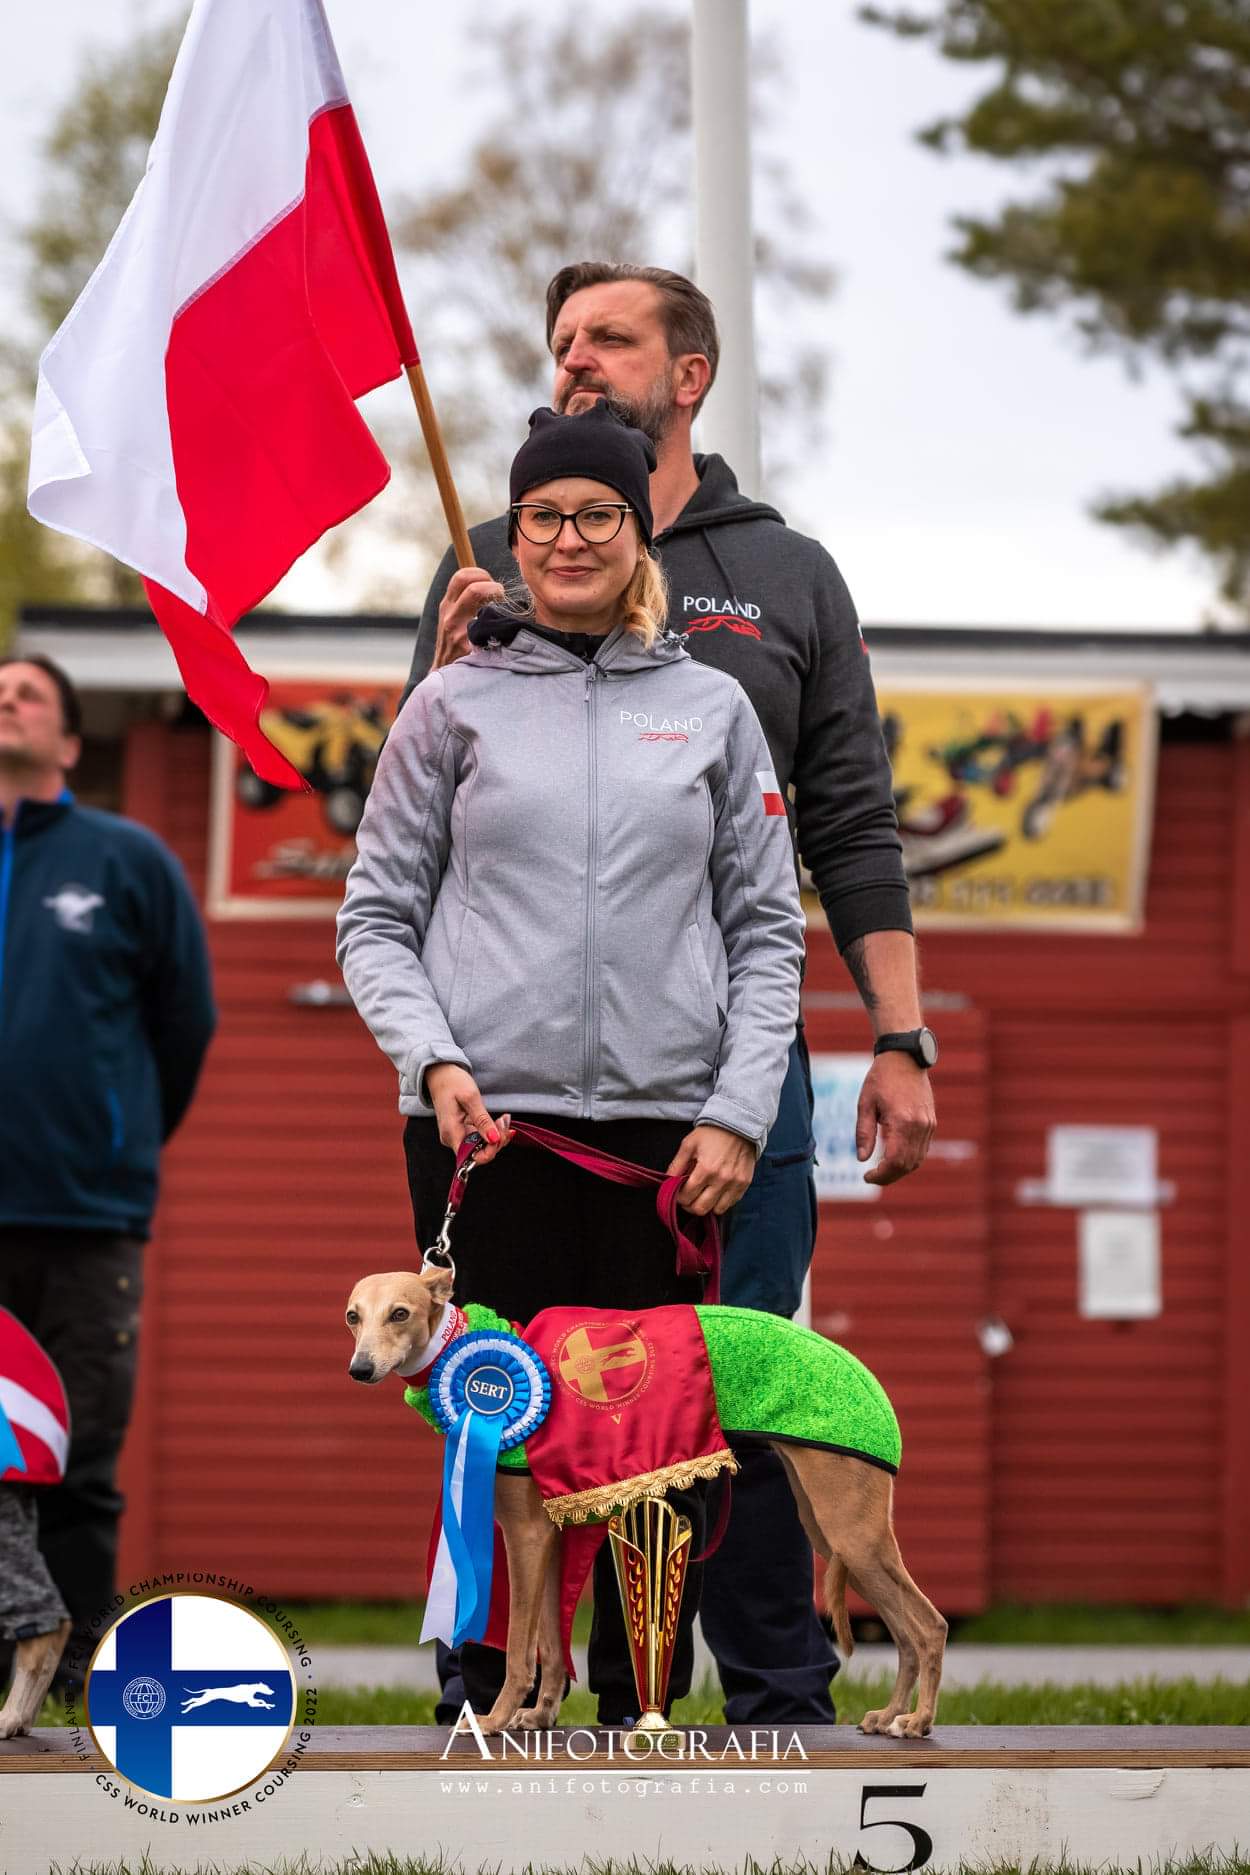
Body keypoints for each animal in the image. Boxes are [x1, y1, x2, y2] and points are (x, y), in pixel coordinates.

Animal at [346, 1267, 944, 1732]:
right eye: (354, 1316)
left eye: (399, 1313)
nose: (360, 1369)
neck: (465, 1354)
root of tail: (871, 1387)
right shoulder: (551, 1534)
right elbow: (551, 1645)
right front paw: (539, 1716)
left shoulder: (524, 1536)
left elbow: (518, 1648)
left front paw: (494, 1719)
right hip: (835, 1532)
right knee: (905, 1632)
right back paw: (890, 1716)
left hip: (853, 1533)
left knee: (929, 1626)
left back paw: (917, 1721)